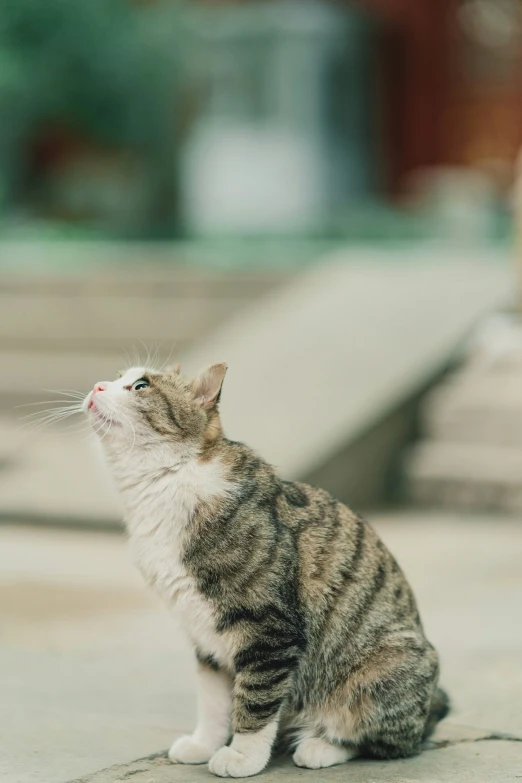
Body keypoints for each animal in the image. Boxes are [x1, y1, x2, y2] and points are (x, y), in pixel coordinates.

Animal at [82, 362, 446, 776]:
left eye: (141, 386)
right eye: (117, 378)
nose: (97, 386)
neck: (163, 485)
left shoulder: (268, 630)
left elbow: (255, 700)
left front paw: (243, 756)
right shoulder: (205, 635)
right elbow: (214, 701)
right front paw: (204, 744)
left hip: (385, 666)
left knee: (391, 740)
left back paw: (321, 746)